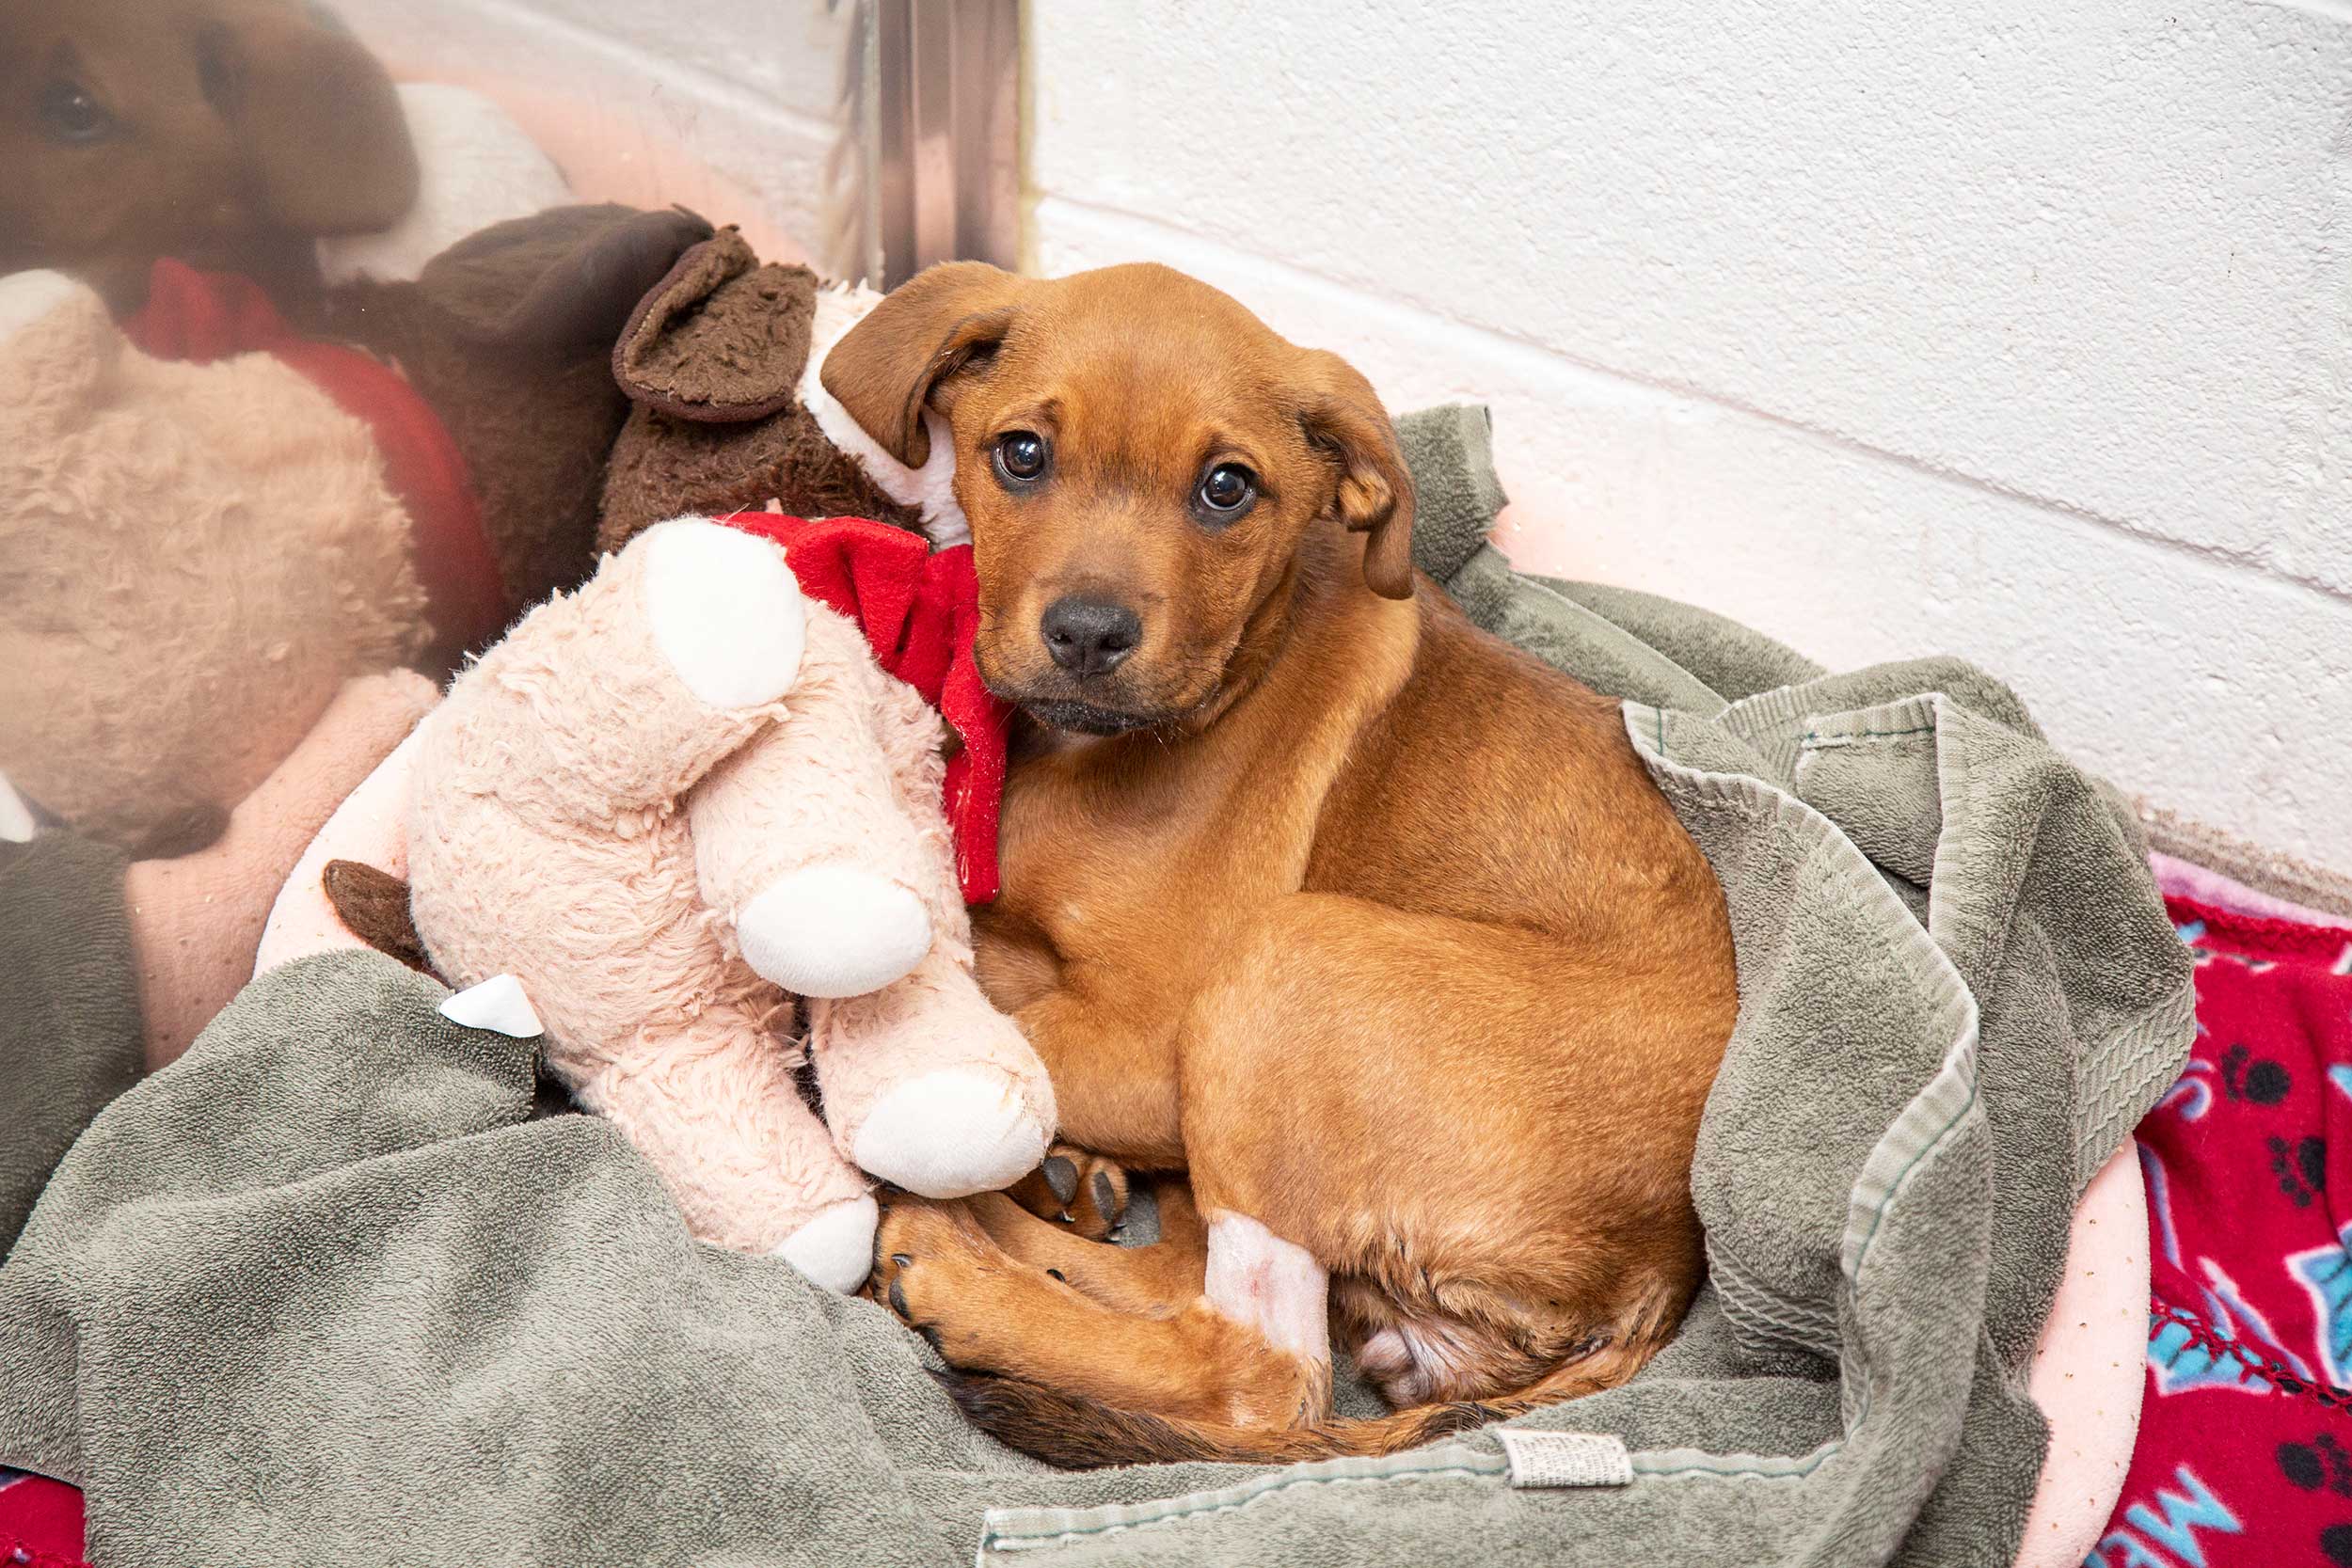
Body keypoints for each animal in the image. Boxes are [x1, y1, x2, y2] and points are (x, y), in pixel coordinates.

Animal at [823, 261, 1731, 1476]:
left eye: (1226, 488)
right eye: (1020, 453)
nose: (1088, 635)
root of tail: (1662, 1274)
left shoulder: (1149, 1040)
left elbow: (982, 1022)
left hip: (1290, 964)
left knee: (1254, 1371)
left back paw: (961, 1269)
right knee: (1179, 1282)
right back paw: (1040, 1202)